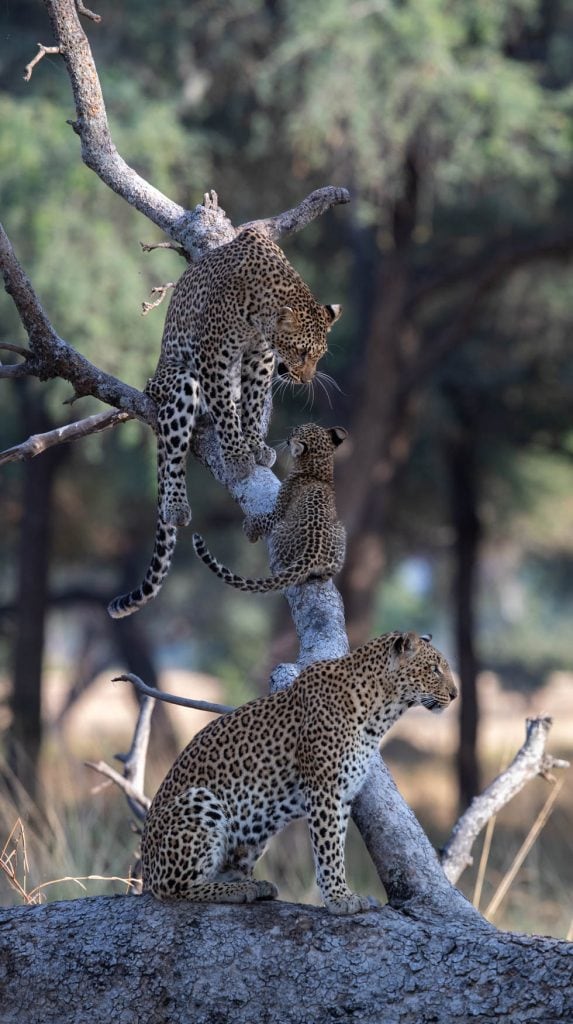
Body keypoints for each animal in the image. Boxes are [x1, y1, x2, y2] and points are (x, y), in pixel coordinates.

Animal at [140, 626, 456, 917]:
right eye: (434, 669)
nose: (454, 694)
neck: (381, 711)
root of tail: (144, 869)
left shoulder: (343, 794)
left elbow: (336, 843)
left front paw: (340, 893)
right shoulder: (324, 789)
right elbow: (328, 849)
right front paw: (340, 898)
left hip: (253, 833)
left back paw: (253, 884)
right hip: (200, 801)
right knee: (173, 887)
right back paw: (237, 889)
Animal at [192, 417, 347, 593]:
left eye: (296, 431)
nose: (288, 437)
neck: (319, 467)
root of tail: (312, 554)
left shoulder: (276, 515)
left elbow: (260, 519)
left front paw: (248, 529)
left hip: (280, 528)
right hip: (341, 531)